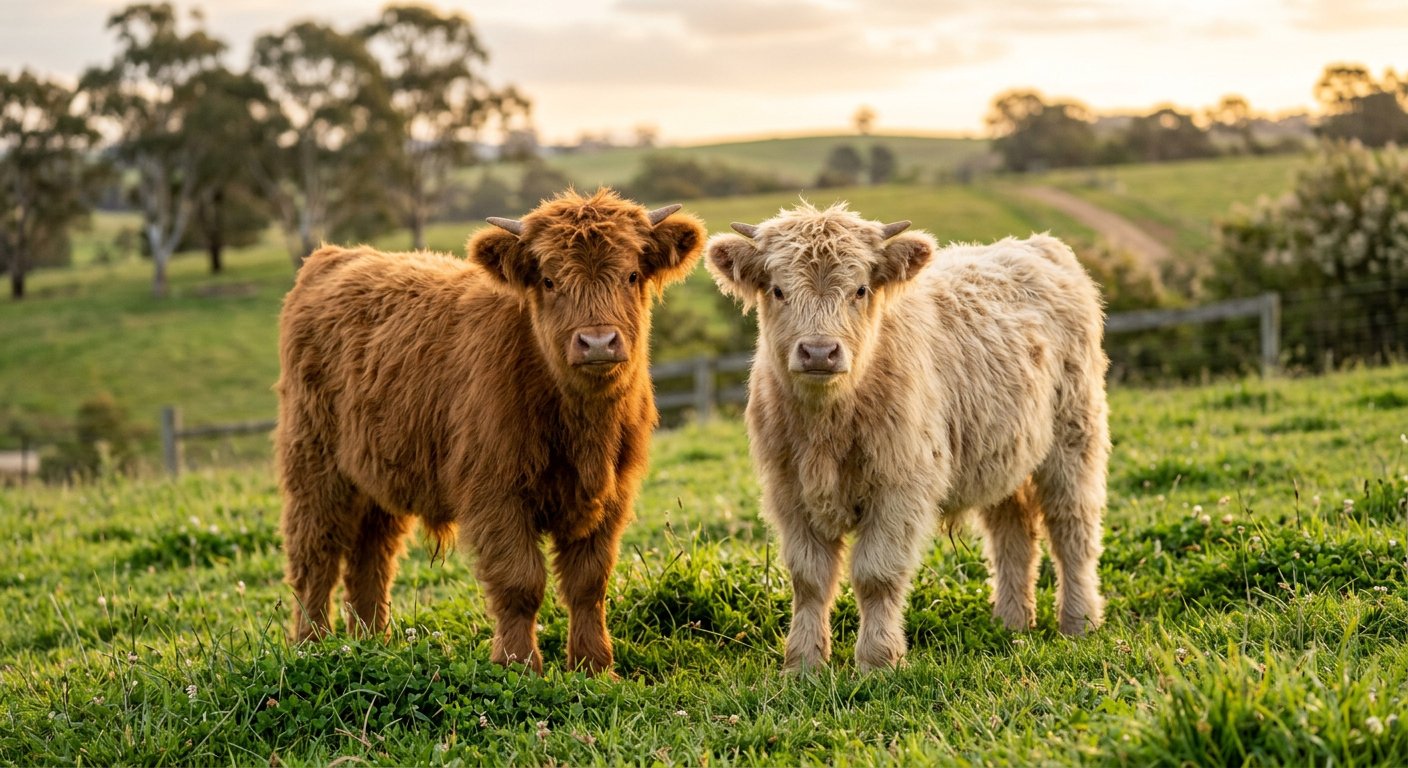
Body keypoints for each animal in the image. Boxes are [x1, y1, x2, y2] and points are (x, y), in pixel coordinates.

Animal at [275, 188, 705, 675]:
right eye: (550, 281)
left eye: (631, 275)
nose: (597, 342)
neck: (580, 427)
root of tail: (335, 256)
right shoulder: (495, 493)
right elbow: (520, 582)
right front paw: (518, 665)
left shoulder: (611, 495)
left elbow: (588, 583)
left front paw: (594, 666)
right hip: (315, 466)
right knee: (316, 557)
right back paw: (313, 646)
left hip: (376, 479)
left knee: (370, 561)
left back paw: (369, 645)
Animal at [705, 202, 1109, 672]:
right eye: (777, 290)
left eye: (860, 289)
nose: (820, 351)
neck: (827, 428)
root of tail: (1034, 245)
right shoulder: (788, 491)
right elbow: (809, 579)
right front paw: (803, 664)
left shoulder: (900, 487)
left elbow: (876, 574)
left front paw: (878, 661)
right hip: (1004, 454)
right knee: (1012, 536)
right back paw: (1011, 623)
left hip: (1075, 437)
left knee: (1072, 529)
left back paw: (1079, 622)